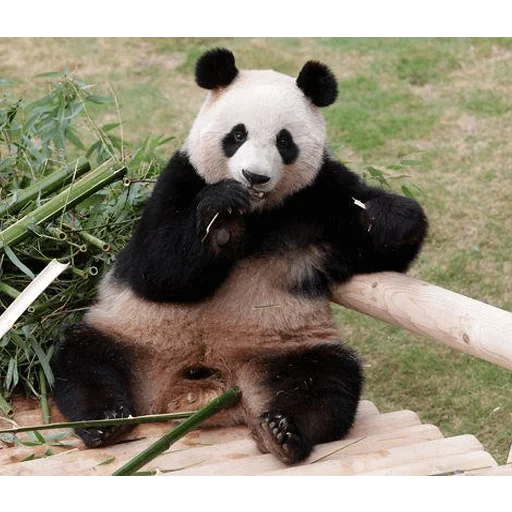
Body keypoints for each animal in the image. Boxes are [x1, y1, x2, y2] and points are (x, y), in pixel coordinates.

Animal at [52, 47, 428, 464]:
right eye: (237, 134)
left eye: (284, 141)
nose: (254, 177)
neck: (260, 211)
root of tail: (196, 390)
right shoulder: (179, 179)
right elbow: (159, 268)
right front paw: (222, 214)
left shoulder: (320, 194)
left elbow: (378, 253)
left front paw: (388, 217)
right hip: (132, 332)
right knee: (82, 361)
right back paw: (105, 420)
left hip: (286, 346)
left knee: (327, 380)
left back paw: (283, 432)